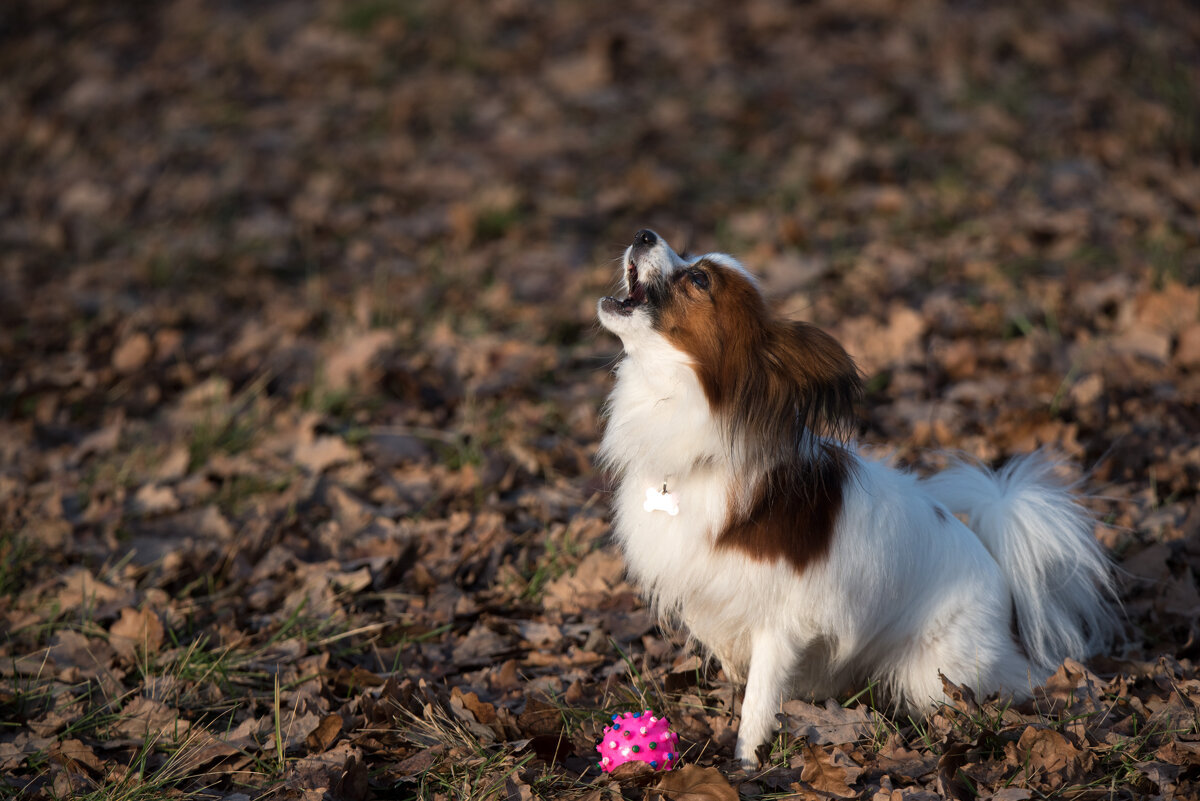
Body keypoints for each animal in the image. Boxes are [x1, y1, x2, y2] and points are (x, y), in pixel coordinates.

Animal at [595, 227, 1118, 767]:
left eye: (699, 279)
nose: (644, 233)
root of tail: (996, 566)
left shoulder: (778, 624)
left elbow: (759, 700)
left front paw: (745, 762)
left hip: (936, 671)